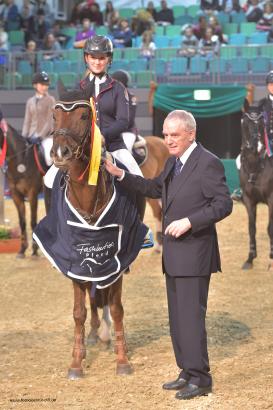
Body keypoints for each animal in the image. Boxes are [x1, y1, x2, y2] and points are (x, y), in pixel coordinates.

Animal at [0, 120, 43, 258]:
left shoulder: (32, 194)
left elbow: (33, 221)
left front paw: (34, 250)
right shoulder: (16, 195)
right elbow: (22, 221)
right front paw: (22, 250)